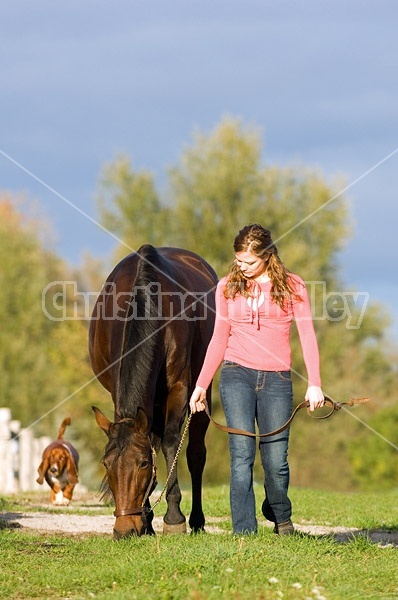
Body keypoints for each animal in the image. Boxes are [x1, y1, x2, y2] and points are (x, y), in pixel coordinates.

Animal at [89, 244, 218, 540]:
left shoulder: (180, 388)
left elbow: (172, 442)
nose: (124, 530)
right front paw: (146, 521)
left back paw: (196, 520)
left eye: (143, 465)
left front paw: (174, 518)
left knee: (195, 453)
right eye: (106, 464)